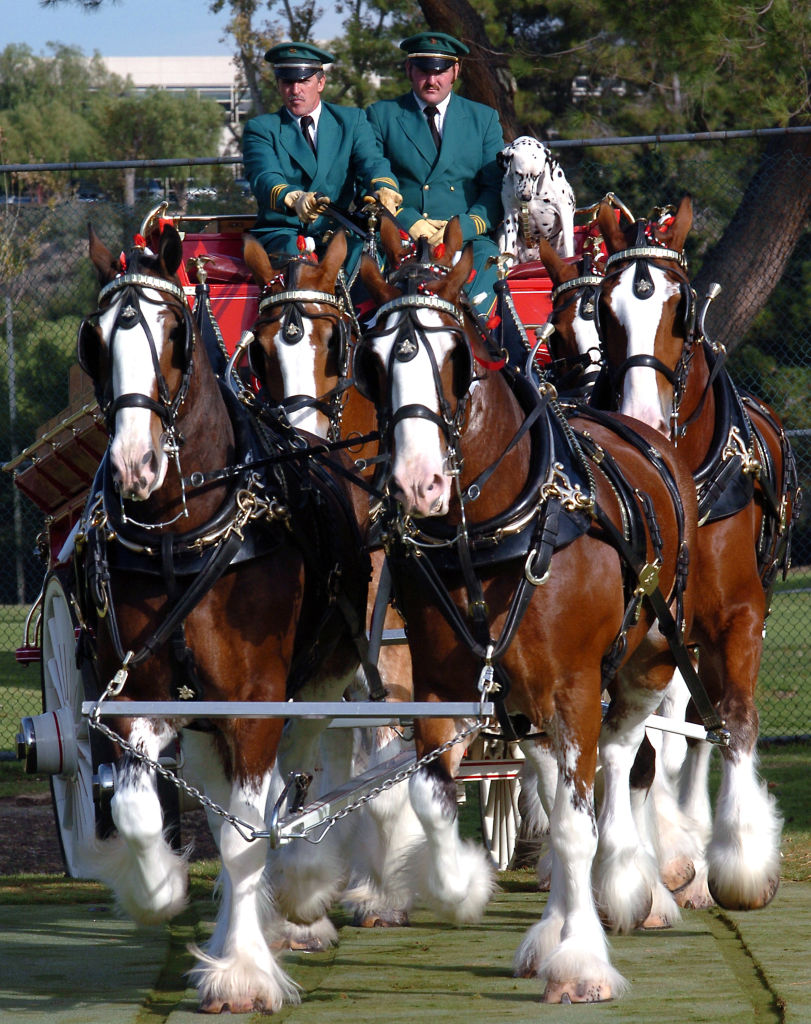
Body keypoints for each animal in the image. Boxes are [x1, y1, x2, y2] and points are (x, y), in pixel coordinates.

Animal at [77, 220, 368, 1011]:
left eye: (176, 333)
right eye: (94, 341)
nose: (134, 465)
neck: (181, 536)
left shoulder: (256, 698)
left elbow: (246, 835)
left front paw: (242, 972)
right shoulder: (141, 693)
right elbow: (141, 810)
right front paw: (159, 887)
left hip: (322, 680)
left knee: (295, 783)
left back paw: (299, 896)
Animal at [354, 218, 704, 999]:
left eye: (455, 359)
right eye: (372, 361)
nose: (418, 482)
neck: (492, 535)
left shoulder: (572, 684)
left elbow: (578, 822)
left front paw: (583, 962)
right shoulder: (439, 686)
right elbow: (430, 796)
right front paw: (460, 883)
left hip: (643, 661)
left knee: (619, 759)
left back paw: (623, 884)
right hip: (525, 697)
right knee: (553, 774)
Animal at [493, 136, 577, 264]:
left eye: (537, 175)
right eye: (518, 173)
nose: (526, 197)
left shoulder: (564, 210)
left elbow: (569, 247)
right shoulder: (510, 214)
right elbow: (509, 250)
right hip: (501, 233)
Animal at [593, 193, 798, 913]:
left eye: (679, 309)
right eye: (603, 307)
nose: (642, 419)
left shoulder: (738, 617)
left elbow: (732, 719)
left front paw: (740, 862)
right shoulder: (644, 626)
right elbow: (640, 746)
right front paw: (652, 871)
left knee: (703, 720)